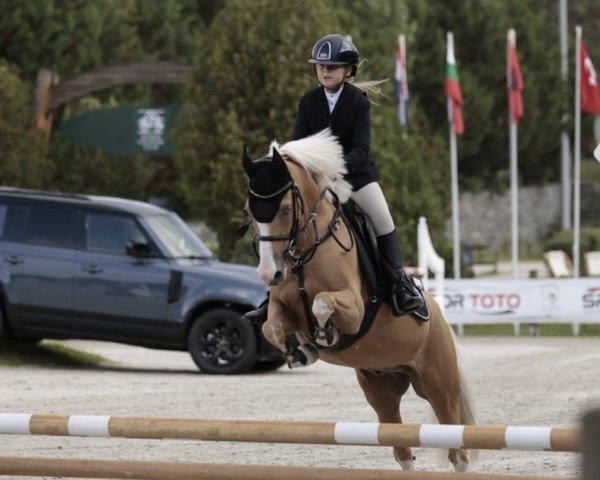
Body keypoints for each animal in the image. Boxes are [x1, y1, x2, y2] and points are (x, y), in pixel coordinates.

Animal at [241, 129, 476, 470]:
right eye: (249, 211)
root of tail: (441, 319)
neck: (306, 251)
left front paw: (324, 334)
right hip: (381, 390)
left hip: (438, 385)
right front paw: (299, 351)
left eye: (285, 208)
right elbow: (271, 326)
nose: (269, 274)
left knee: (457, 449)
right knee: (402, 450)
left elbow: (322, 303)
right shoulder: (283, 308)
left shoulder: (354, 309)